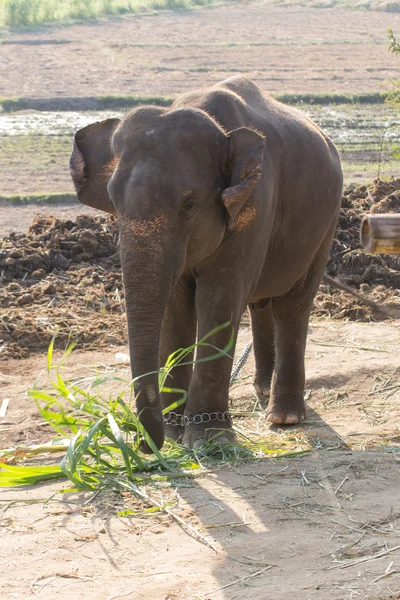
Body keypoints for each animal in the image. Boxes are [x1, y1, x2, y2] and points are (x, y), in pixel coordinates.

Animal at [70, 75, 342, 450]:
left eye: (189, 205)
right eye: (112, 200)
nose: (144, 443)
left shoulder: (255, 203)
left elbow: (219, 297)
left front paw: (209, 440)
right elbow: (176, 308)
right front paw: (174, 432)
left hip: (325, 225)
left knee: (293, 305)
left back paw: (283, 417)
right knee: (260, 303)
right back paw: (261, 389)